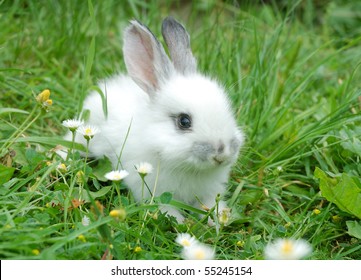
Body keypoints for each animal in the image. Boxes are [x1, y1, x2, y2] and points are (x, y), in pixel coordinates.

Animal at [69, 17, 243, 223]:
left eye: (228, 110)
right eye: (184, 121)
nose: (223, 153)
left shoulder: (210, 191)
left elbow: (210, 205)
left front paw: (219, 219)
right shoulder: (153, 190)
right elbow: (166, 208)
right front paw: (180, 221)